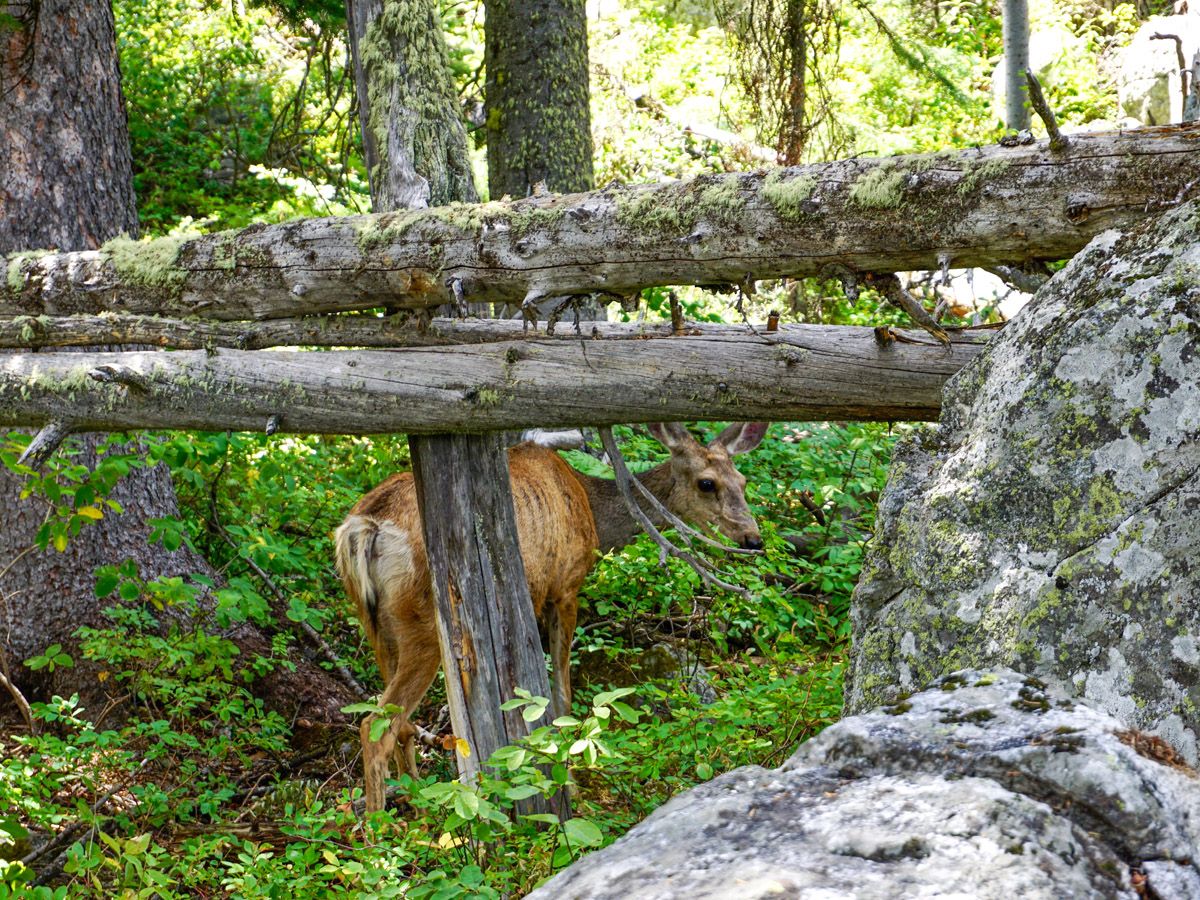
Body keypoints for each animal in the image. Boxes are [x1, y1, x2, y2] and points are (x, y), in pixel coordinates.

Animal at [336, 420, 768, 816]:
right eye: (706, 483)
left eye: (743, 481)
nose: (753, 539)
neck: (591, 504)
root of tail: (364, 528)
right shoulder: (565, 586)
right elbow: (560, 692)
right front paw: (571, 782)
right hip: (426, 622)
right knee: (375, 726)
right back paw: (380, 834)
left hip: (377, 622)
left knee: (397, 722)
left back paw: (419, 806)